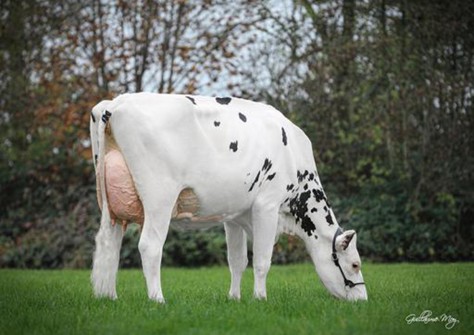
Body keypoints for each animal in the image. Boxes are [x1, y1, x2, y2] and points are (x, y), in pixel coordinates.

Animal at [90, 93, 368, 304]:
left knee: (108, 244)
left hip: (109, 202)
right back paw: (157, 299)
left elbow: (237, 260)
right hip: (160, 198)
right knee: (149, 245)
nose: (363, 300)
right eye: (355, 264)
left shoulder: (234, 215)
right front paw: (260, 298)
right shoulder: (267, 205)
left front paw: (234, 298)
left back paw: (108, 297)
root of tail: (115, 103)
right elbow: (262, 260)